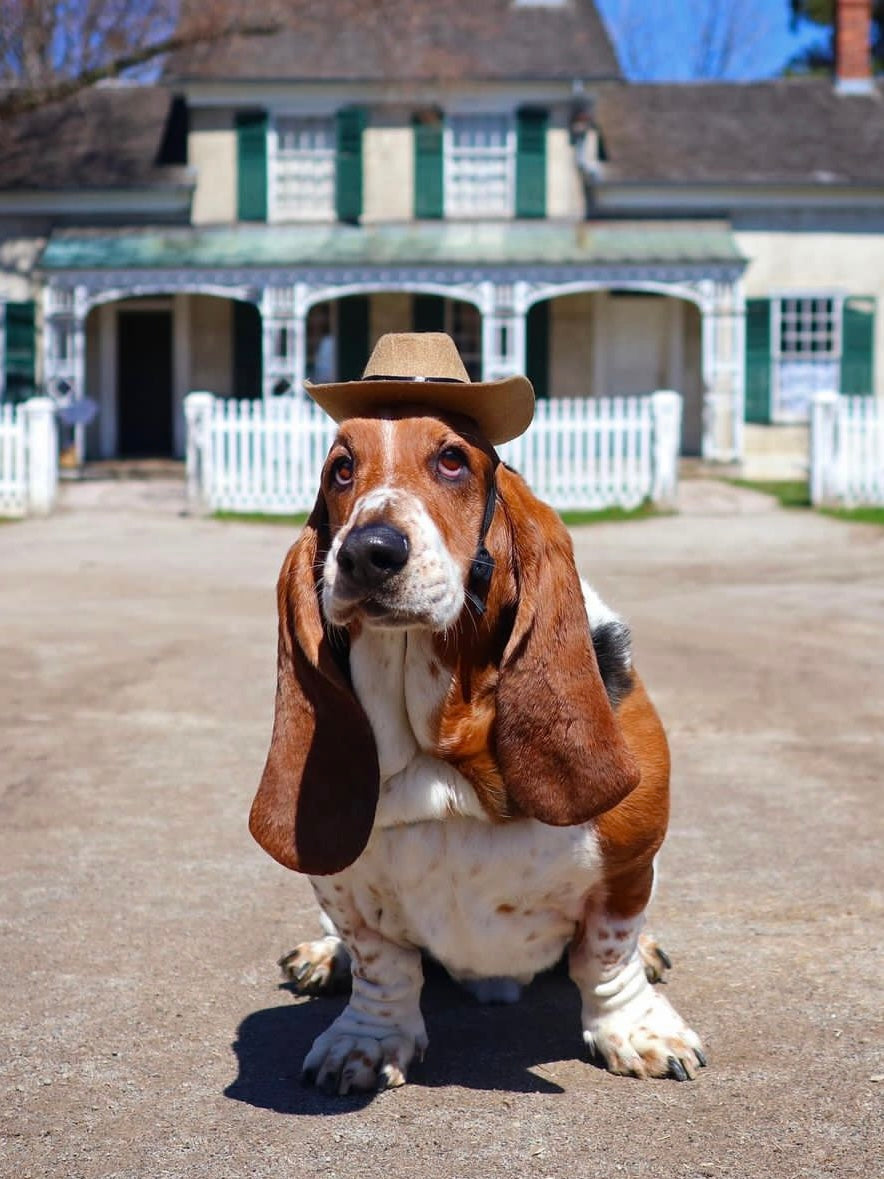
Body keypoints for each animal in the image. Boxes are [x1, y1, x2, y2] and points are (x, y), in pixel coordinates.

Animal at [249, 332, 707, 1094]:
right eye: (341, 469)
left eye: (453, 460)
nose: (369, 552)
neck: (443, 758)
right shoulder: (341, 886)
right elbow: (380, 962)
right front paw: (366, 1040)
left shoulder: (630, 863)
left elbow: (607, 954)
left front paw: (638, 1029)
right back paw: (324, 956)